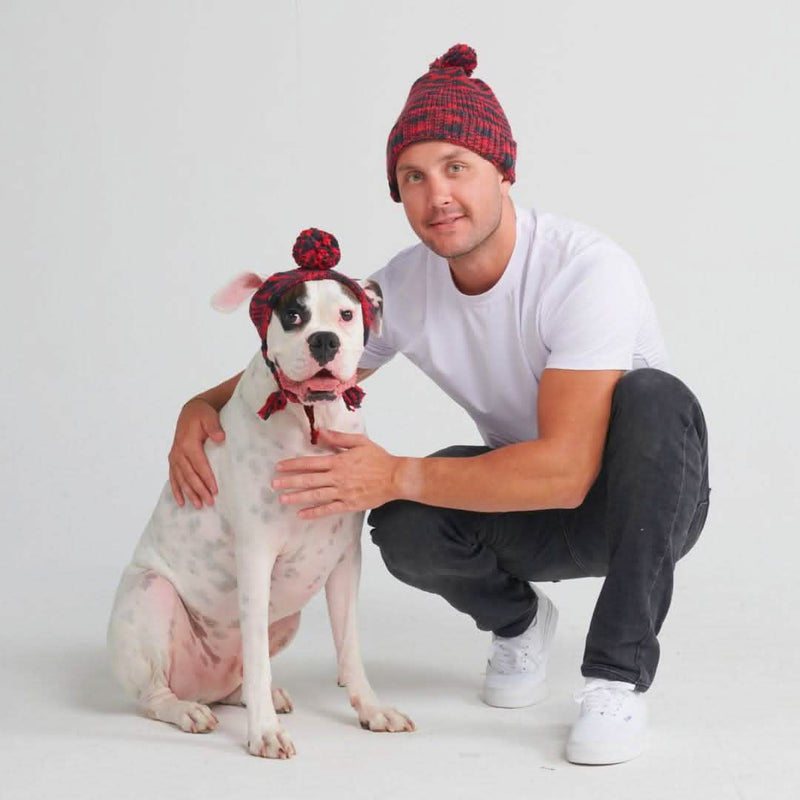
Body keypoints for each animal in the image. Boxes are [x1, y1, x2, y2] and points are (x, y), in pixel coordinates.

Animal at [107, 230, 413, 758]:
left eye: (346, 314)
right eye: (293, 315)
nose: (324, 340)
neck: (312, 423)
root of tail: (201, 684)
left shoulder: (344, 560)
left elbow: (350, 647)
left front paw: (372, 710)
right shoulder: (255, 556)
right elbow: (256, 654)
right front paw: (264, 733)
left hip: (285, 619)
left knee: (240, 678)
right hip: (152, 595)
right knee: (157, 695)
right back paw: (189, 710)